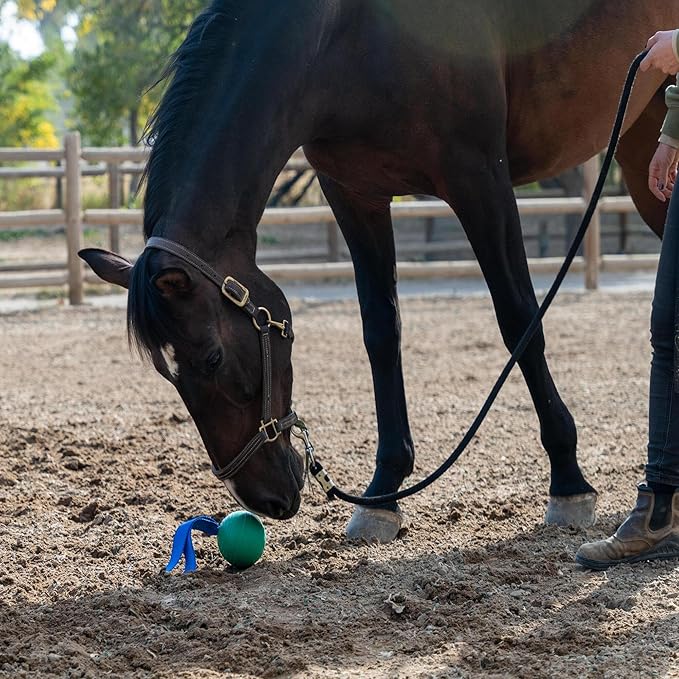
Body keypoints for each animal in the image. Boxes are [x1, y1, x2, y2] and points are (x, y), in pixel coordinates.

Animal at [80, 0, 679, 543]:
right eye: (169, 376)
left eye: (212, 359)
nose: (264, 499)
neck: (351, 29)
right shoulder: (353, 192)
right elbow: (381, 332)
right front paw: (383, 494)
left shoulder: (480, 179)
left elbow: (520, 324)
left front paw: (569, 482)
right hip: (645, 148)